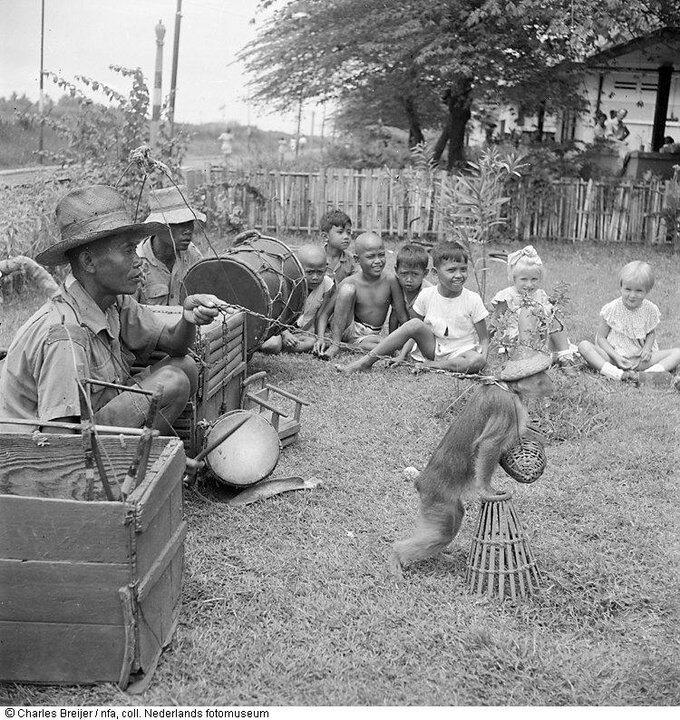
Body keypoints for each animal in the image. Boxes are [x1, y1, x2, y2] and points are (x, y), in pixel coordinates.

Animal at [388, 372, 552, 580]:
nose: (551, 384)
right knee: (444, 532)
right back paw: (396, 553)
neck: (506, 387)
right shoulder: (506, 404)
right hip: (437, 496)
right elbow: (490, 443)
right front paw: (486, 489)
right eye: (541, 377)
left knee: (449, 525)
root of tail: (421, 481)